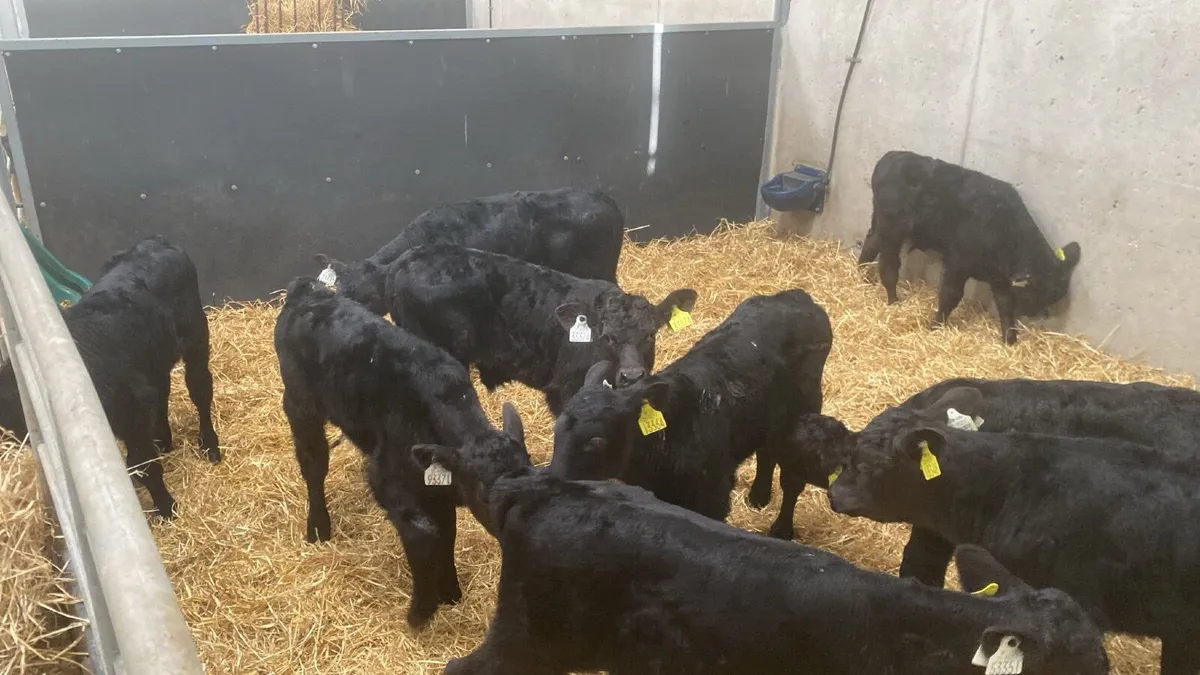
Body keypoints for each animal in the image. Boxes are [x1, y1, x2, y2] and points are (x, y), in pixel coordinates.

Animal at [0, 235, 220, 517]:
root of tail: (156, 241)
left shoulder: (133, 413)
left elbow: (142, 464)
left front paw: (166, 507)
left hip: (196, 336)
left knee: (200, 388)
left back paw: (209, 445)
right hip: (154, 360)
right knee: (163, 392)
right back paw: (163, 439)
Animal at [273, 277, 531, 628]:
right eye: (487, 497)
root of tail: (307, 291)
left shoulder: (437, 487)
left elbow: (448, 533)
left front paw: (451, 591)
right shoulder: (390, 482)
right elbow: (425, 536)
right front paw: (421, 611)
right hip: (300, 403)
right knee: (313, 463)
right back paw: (318, 526)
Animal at [549, 289, 831, 539]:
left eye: (596, 441)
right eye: (557, 430)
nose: (554, 480)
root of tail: (798, 296)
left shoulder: (715, 495)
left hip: (805, 412)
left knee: (792, 480)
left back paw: (782, 530)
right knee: (766, 451)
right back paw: (758, 496)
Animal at [858, 150, 1082, 344]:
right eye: (1037, 292)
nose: (1033, 314)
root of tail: (889, 157)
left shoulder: (999, 280)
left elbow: (1005, 305)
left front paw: (1010, 339)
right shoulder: (958, 263)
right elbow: (950, 296)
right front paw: (935, 326)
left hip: (882, 226)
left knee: (870, 243)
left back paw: (862, 277)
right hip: (892, 230)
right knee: (889, 265)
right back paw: (893, 300)